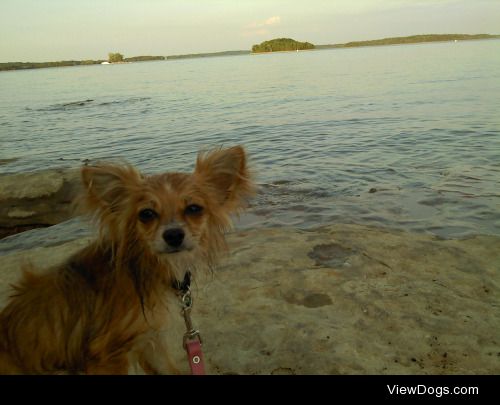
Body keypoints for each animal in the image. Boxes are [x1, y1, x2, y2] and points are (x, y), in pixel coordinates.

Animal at [0, 144, 254, 372]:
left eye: (194, 208)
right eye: (147, 214)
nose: (173, 235)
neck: (148, 267)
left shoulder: (150, 339)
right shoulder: (107, 354)